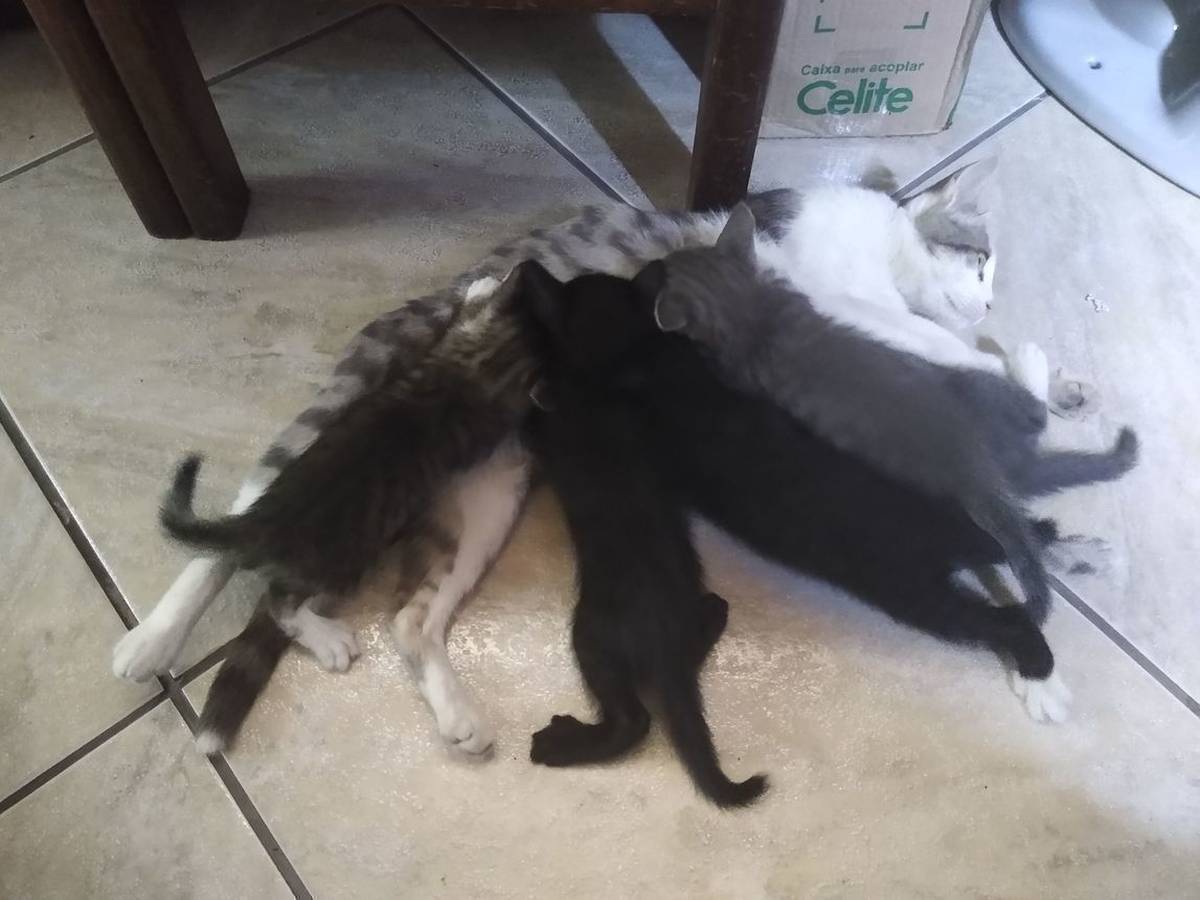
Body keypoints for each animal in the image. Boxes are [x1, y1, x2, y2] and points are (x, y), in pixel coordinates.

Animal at [111, 165, 1049, 752]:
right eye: (982, 257)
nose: (989, 299)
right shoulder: (830, 290)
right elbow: (932, 342)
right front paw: (1023, 368)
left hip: (484, 497)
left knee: (407, 618)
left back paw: (446, 708)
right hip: (337, 429)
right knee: (239, 522)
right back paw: (154, 639)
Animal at [513, 261, 1131, 722]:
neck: (634, 348)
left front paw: (543, 390)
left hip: (916, 593)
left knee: (1008, 619)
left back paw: (1041, 680)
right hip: (955, 525)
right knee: (1032, 535)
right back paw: (1088, 556)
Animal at [521, 285, 766, 806]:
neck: (603, 385)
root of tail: (667, 644)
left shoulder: (549, 431)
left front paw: (537, 387)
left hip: (591, 639)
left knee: (634, 721)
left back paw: (559, 743)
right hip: (701, 611)